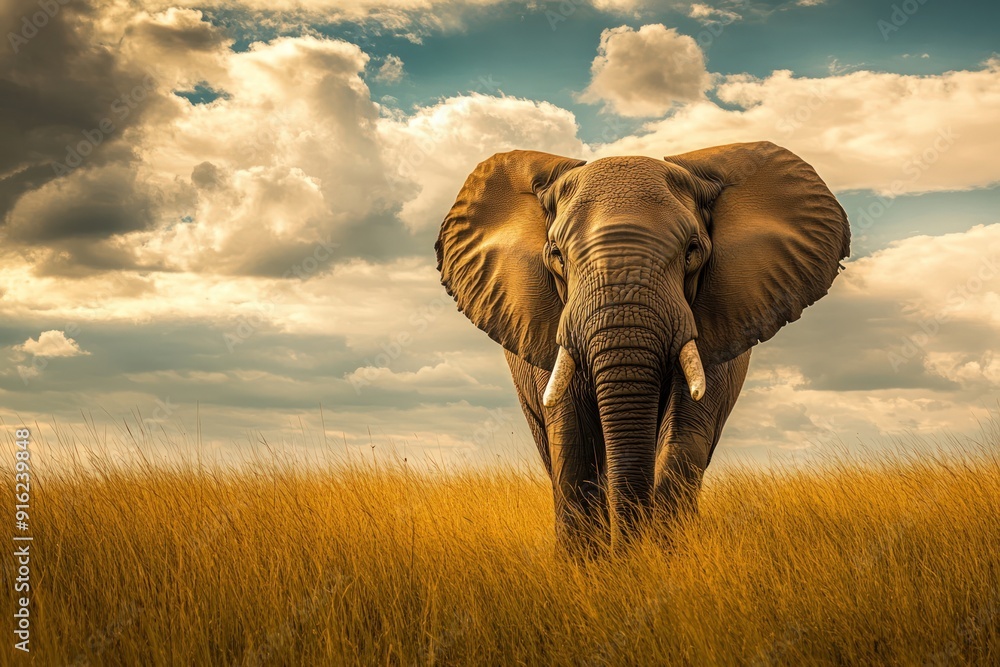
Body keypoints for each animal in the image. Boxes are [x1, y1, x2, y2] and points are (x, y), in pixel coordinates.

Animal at [435, 142, 850, 552]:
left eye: (692, 251)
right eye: (556, 255)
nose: (630, 550)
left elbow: (685, 428)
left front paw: (663, 556)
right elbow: (572, 436)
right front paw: (591, 564)